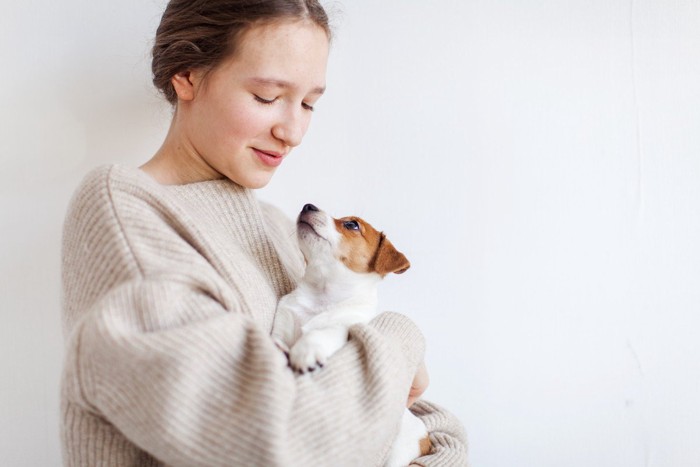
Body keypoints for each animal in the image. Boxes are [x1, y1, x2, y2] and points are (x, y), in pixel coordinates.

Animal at [270, 204, 430, 467]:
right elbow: (279, 338)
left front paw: (307, 349)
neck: (322, 296)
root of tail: (425, 436)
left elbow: (326, 331)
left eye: (352, 225)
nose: (308, 205)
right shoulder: (284, 321)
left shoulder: (348, 328)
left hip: (397, 453)